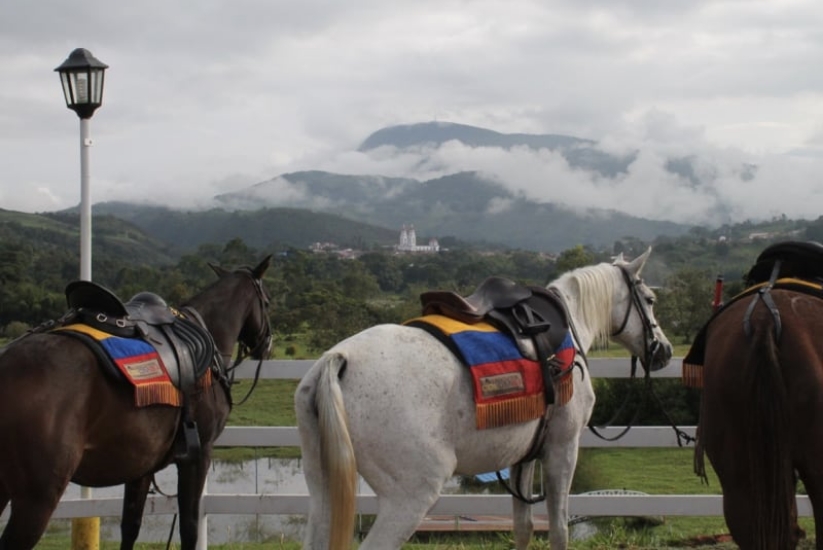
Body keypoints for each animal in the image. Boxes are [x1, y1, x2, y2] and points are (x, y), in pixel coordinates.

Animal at [0, 255, 272, 550]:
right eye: (267, 303)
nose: (267, 345)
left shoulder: (141, 463)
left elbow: (130, 526)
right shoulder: (199, 455)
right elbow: (189, 527)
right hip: (38, 496)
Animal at [295, 248, 673, 549]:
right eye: (650, 300)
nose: (664, 351)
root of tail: (338, 359)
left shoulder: (525, 455)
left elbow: (523, 527)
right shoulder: (562, 449)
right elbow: (559, 531)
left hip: (323, 489)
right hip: (410, 497)